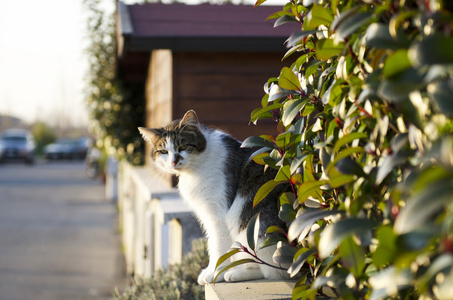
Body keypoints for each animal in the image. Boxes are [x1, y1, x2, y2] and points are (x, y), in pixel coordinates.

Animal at [138, 109, 288, 284]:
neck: (196, 168)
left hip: (257, 227)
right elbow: (212, 243)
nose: (174, 162)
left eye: (183, 146)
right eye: (163, 152)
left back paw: (236, 273)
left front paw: (215, 273)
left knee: (273, 271)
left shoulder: (218, 214)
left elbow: (217, 245)